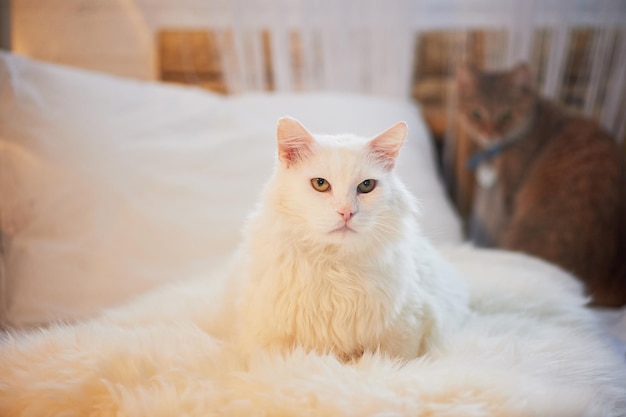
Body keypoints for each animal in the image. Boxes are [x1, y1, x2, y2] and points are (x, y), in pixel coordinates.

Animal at [234, 118, 468, 360]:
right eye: (320, 183)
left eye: (366, 185)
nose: (346, 212)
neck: (335, 266)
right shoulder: (268, 336)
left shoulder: (406, 328)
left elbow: (390, 359)